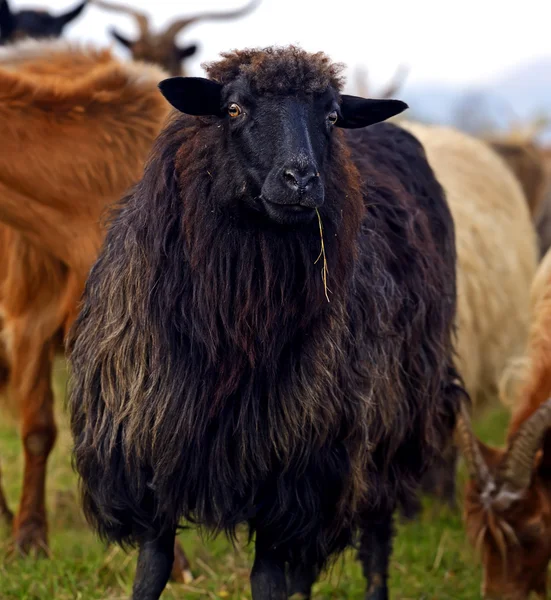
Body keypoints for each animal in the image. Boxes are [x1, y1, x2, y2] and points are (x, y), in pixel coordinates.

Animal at [68, 45, 466, 600]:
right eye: (233, 109)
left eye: (332, 116)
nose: (301, 180)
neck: (236, 335)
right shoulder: (146, 451)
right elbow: (153, 567)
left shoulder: (294, 475)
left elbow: (268, 579)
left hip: (391, 422)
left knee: (375, 538)